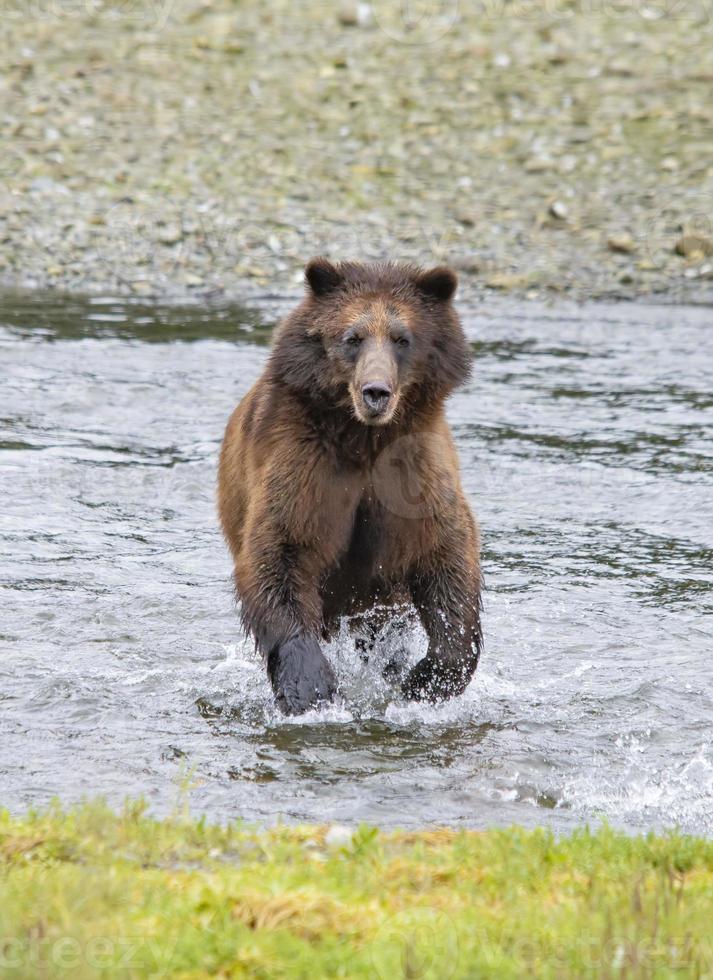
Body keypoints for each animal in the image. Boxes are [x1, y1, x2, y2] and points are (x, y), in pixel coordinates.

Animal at [218, 258, 484, 712]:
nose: (375, 391)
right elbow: (281, 550)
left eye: (402, 338)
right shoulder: (304, 463)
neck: (364, 438)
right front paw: (311, 685)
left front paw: (425, 680)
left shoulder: (413, 469)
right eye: (352, 337)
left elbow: (446, 554)